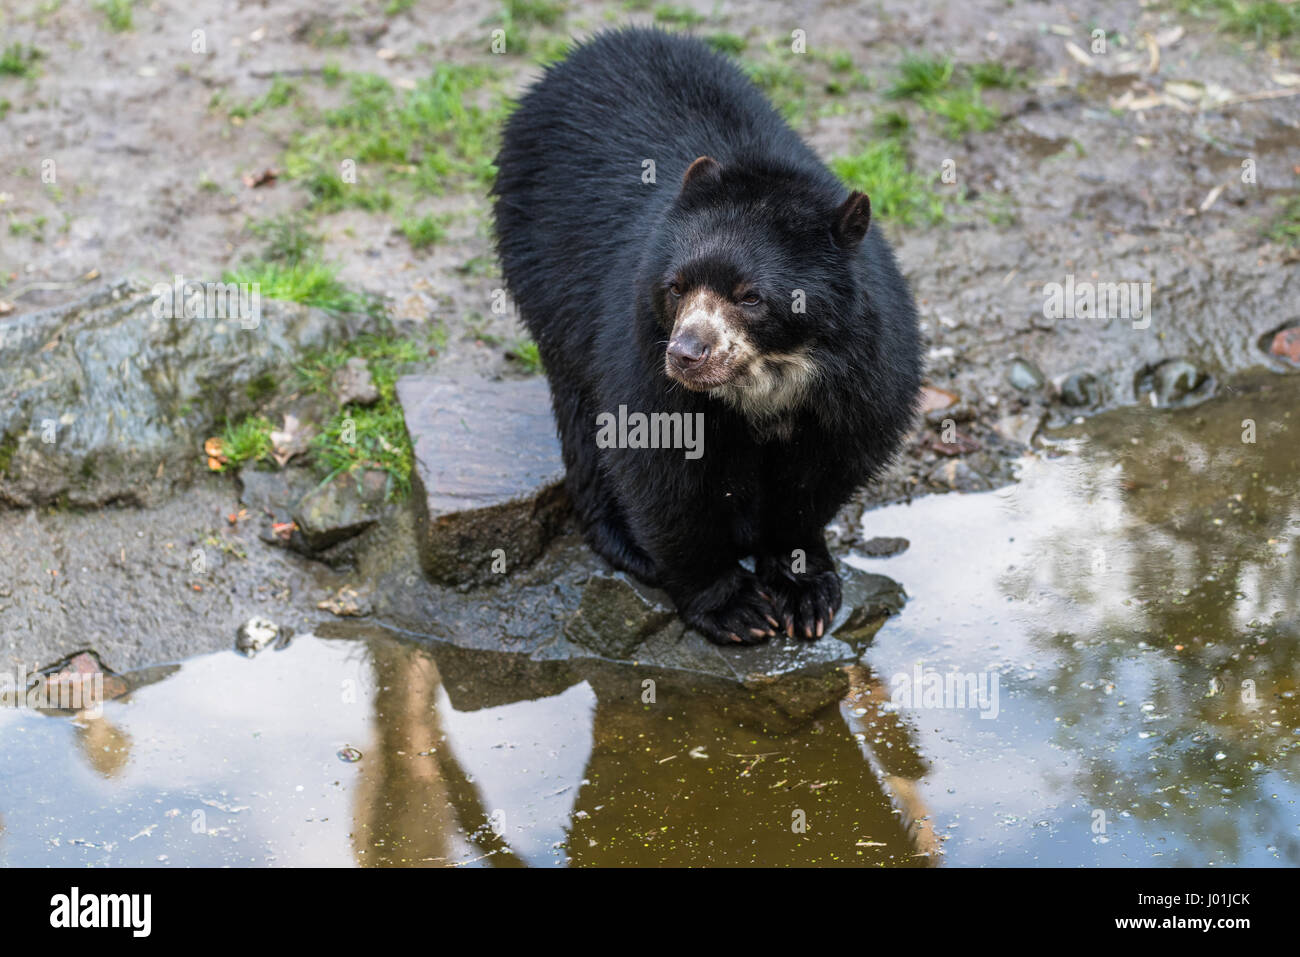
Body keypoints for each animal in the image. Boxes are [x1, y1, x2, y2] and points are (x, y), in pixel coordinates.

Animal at [488, 26, 925, 647]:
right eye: (676, 287)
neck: (775, 374)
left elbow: (821, 475)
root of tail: (585, 49)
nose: (687, 354)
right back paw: (623, 540)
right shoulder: (640, 345)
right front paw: (734, 606)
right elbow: (659, 464)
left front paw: (804, 587)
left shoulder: (868, 368)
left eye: (751, 297)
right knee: (577, 402)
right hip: (543, 268)